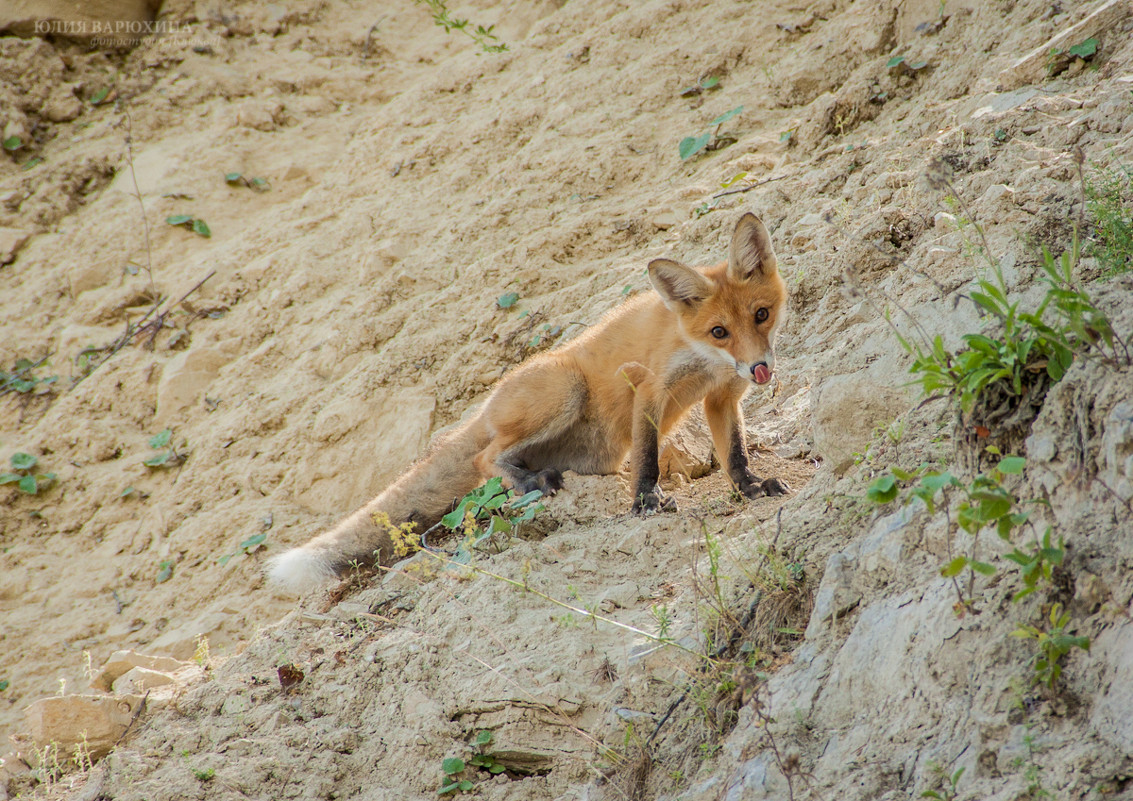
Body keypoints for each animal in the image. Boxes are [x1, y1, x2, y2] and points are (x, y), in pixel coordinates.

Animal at [269, 211, 793, 589]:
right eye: (719, 331)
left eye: (761, 315)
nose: (758, 368)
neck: (703, 359)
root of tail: (485, 407)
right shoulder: (648, 387)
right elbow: (647, 457)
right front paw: (645, 500)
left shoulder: (722, 398)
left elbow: (735, 453)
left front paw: (750, 487)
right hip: (566, 390)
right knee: (484, 457)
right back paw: (527, 482)